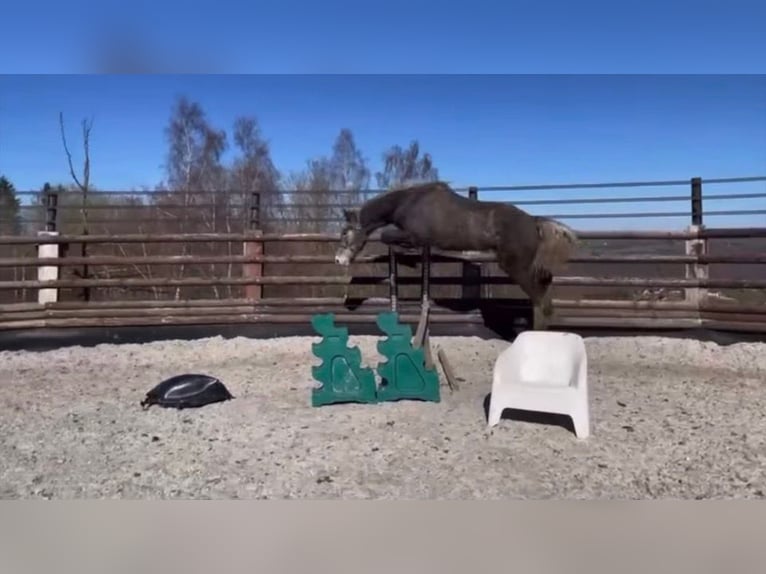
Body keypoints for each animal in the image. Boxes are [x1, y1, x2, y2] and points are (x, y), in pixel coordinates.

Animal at [333, 181, 579, 329]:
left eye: (345, 233)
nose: (338, 260)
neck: (409, 202)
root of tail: (534, 221)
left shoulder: (415, 235)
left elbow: (387, 236)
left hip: (515, 266)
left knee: (539, 293)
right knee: (545, 283)